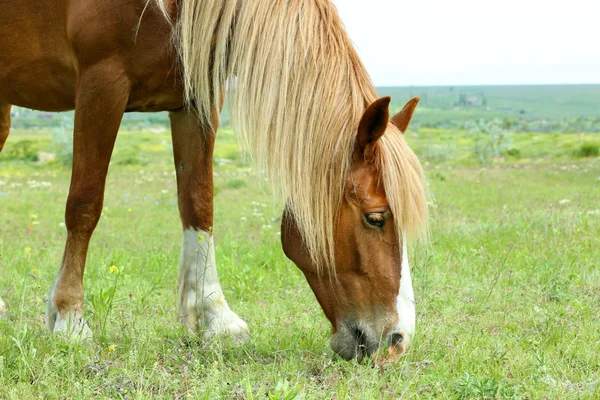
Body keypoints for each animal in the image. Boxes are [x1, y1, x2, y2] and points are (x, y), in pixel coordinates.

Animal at [2, 0, 428, 362]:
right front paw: (69, 318)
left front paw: (215, 317)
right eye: (376, 217)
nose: (399, 341)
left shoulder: (195, 99)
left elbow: (199, 203)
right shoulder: (101, 82)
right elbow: (85, 205)